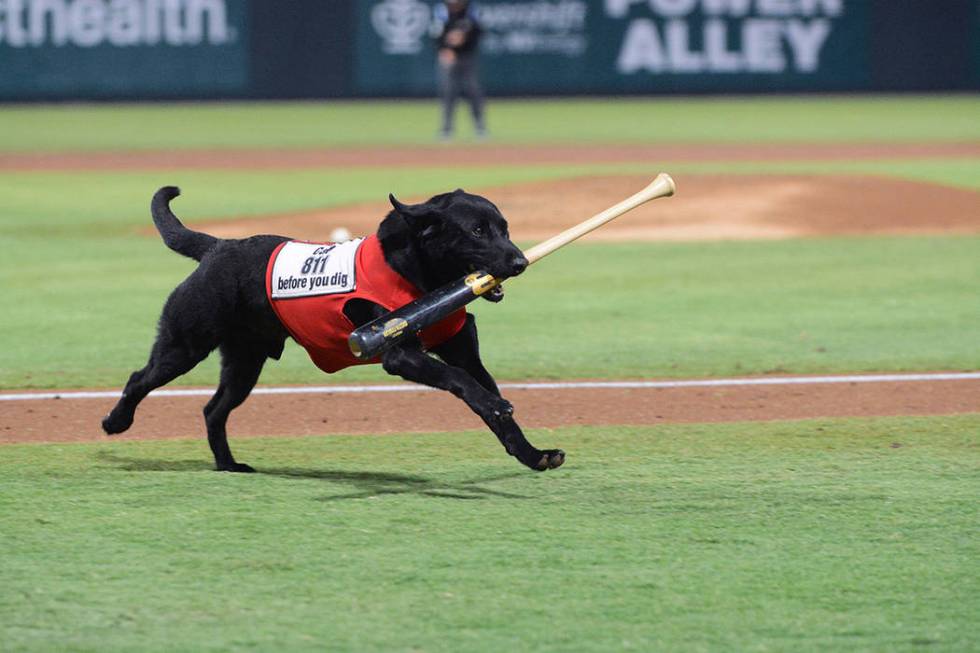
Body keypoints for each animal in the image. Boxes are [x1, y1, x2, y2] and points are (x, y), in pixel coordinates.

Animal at [100, 186, 568, 472]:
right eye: (476, 230)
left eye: (505, 228)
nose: (519, 262)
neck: (418, 276)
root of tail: (218, 246)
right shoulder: (400, 354)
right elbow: (464, 384)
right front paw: (496, 406)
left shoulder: (463, 350)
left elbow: (487, 398)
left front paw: (532, 454)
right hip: (185, 343)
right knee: (139, 378)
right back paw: (116, 422)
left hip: (245, 361)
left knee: (213, 410)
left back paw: (228, 465)